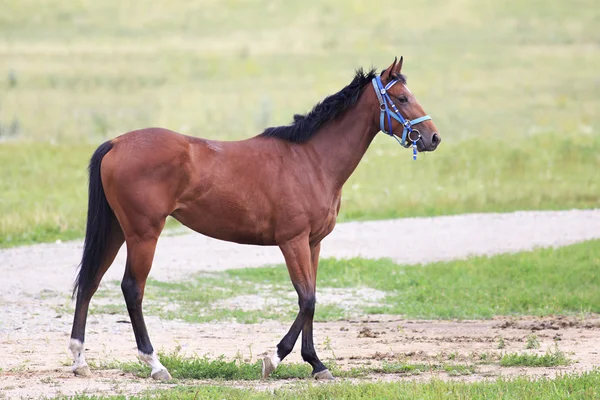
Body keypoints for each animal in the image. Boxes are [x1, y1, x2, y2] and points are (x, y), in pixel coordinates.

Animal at [68, 57, 440, 382]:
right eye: (402, 98)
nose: (433, 137)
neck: (312, 160)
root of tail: (116, 142)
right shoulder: (292, 242)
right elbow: (306, 299)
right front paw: (273, 359)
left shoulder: (313, 243)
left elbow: (312, 299)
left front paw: (316, 364)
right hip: (143, 233)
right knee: (132, 288)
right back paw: (155, 365)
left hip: (116, 230)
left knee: (90, 283)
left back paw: (79, 359)